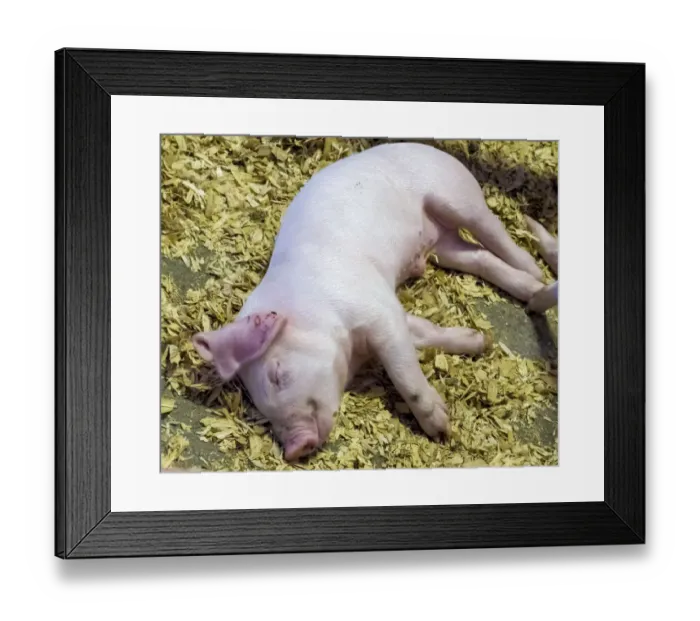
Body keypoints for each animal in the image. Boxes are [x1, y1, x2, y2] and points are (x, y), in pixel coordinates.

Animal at [192, 142, 553, 462]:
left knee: (495, 233)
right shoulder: (393, 312)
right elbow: (426, 332)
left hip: (458, 199)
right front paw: (481, 342)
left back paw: (536, 275)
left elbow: (403, 371)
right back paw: (532, 291)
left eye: (276, 374)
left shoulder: (376, 309)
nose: (294, 449)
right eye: (258, 403)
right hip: (445, 246)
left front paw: (441, 430)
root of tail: (432, 149)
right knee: (479, 257)